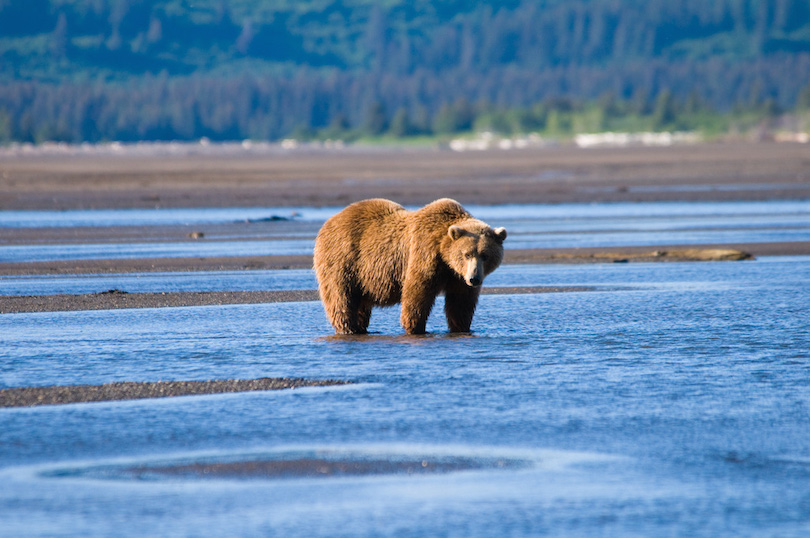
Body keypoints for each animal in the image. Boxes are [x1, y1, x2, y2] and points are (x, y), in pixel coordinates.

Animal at [312, 197, 502, 332]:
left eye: (485, 255)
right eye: (467, 254)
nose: (474, 278)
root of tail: (329, 222)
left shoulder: (457, 278)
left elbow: (461, 303)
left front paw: (461, 327)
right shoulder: (424, 253)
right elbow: (417, 293)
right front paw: (414, 326)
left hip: (362, 278)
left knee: (361, 305)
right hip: (343, 260)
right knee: (341, 298)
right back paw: (348, 328)